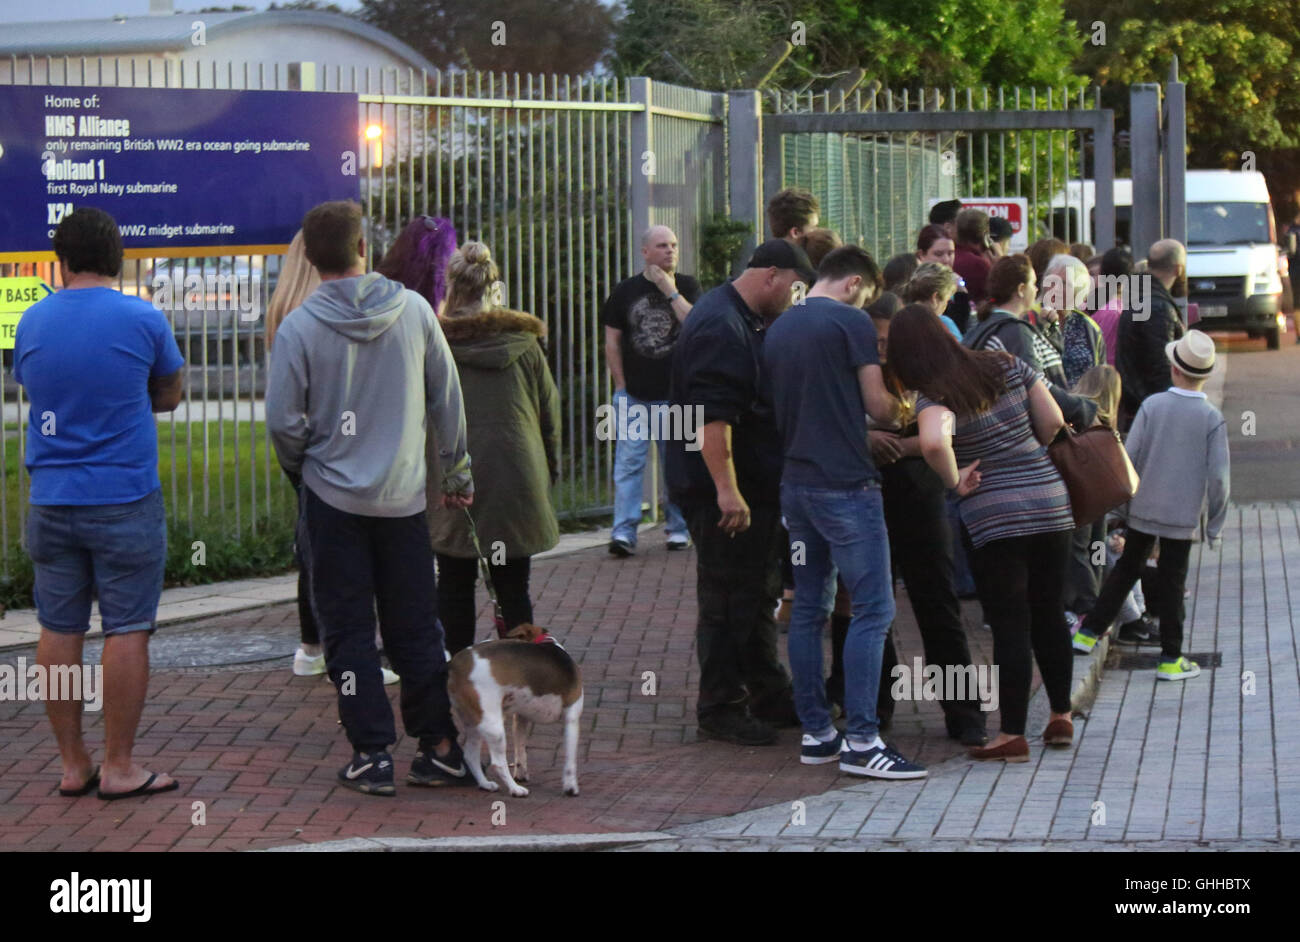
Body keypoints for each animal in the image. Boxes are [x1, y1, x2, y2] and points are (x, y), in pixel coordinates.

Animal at [449, 623, 587, 795]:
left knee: (470, 756)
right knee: (497, 763)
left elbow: (520, 750)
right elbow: (570, 759)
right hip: (493, 726)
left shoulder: (521, 718)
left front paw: (521, 772)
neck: (547, 641)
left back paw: (485, 784)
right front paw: (571, 786)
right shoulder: (572, 718)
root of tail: (455, 664)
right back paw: (515, 789)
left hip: (474, 722)